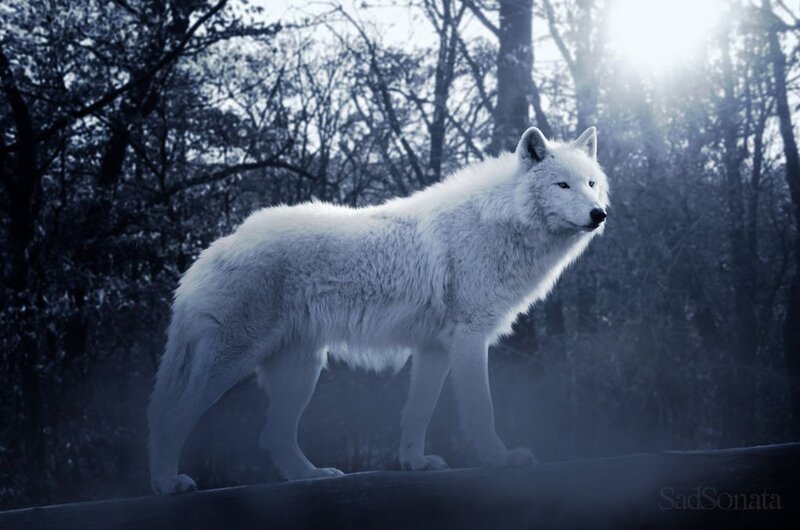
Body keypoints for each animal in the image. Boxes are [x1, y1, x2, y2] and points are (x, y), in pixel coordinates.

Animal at [148, 126, 609, 494]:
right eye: (562, 185)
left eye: (590, 183)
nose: (599, 213)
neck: (500, 221)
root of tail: (212, 251)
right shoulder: (469, 337)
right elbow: (481, 411)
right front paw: (500, 459)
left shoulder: (434, 349)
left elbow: (417, 415)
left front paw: (415, 463)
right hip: (234, 363)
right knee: (171, 418)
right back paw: (168, 483)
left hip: (302, 370)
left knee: (273, 436)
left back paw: (311, 476)